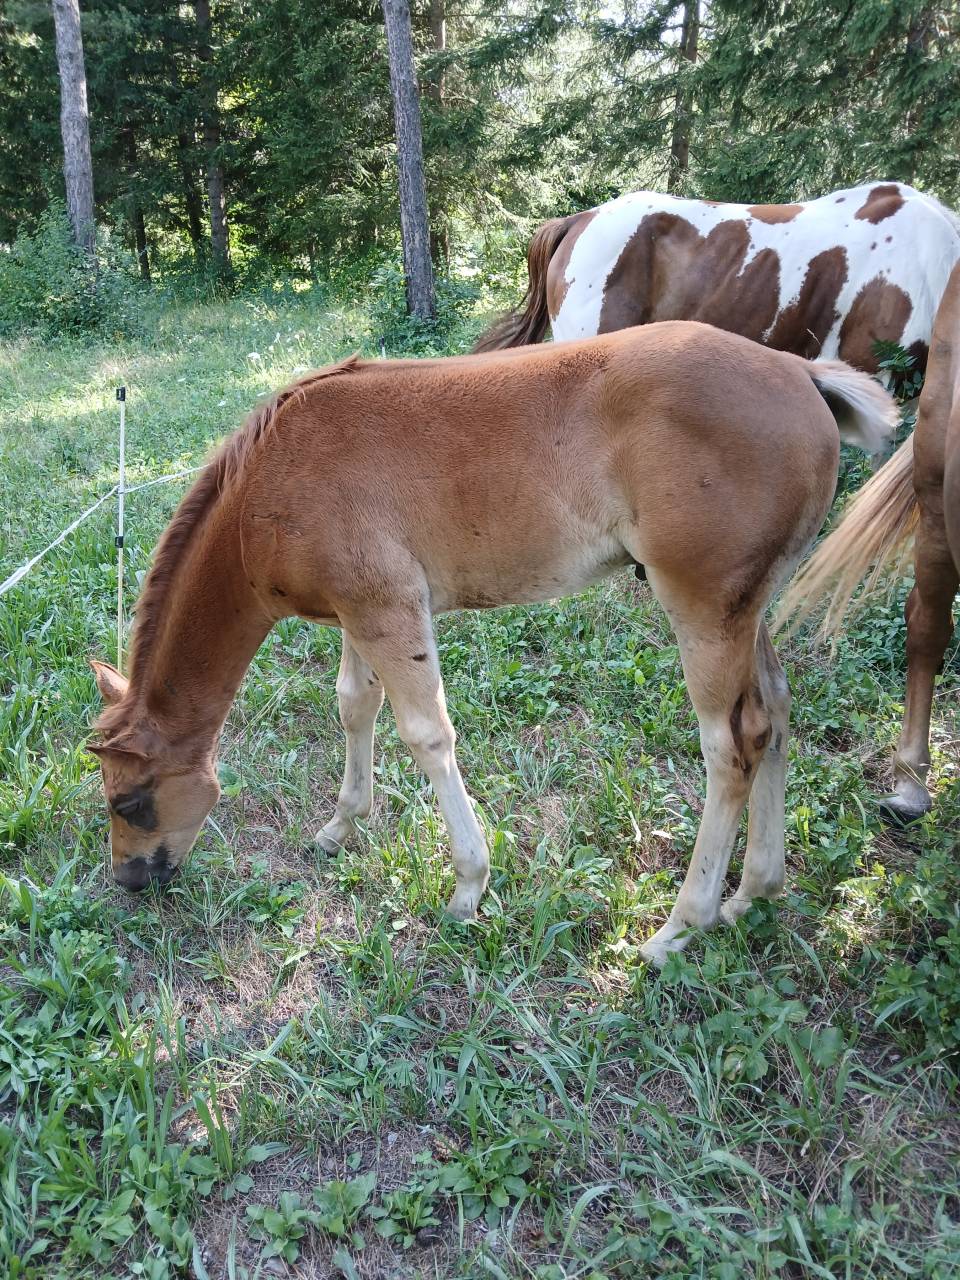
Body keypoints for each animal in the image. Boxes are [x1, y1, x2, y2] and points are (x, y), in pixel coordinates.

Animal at [87, 322, 895, 965]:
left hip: (703, 610)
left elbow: (427, 735)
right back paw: (752, 892)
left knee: (732, 747)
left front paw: (467, 886)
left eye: (130, 803)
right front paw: (342, 825)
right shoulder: (358, 612)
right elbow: (353, 706)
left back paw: (679, 927)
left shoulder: (388, 610)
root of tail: (799, 372)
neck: (271, 483)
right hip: (747, 611)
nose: (128, 880)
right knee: (775, 715)